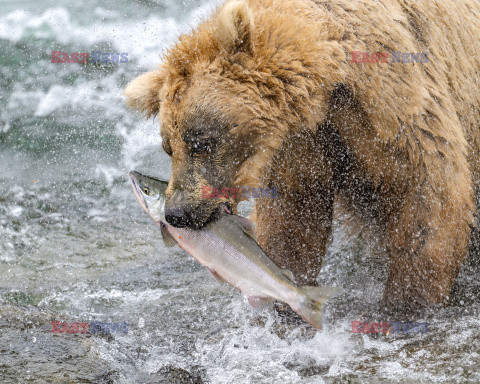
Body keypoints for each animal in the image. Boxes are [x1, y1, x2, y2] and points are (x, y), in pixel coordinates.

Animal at [125, 0, 480, 310]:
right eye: (168, 146)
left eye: (201, 142)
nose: (177, 213)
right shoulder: (300, 141)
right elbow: (294, 218)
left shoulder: (394, 109)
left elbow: (426, 199)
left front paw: (406, 302)